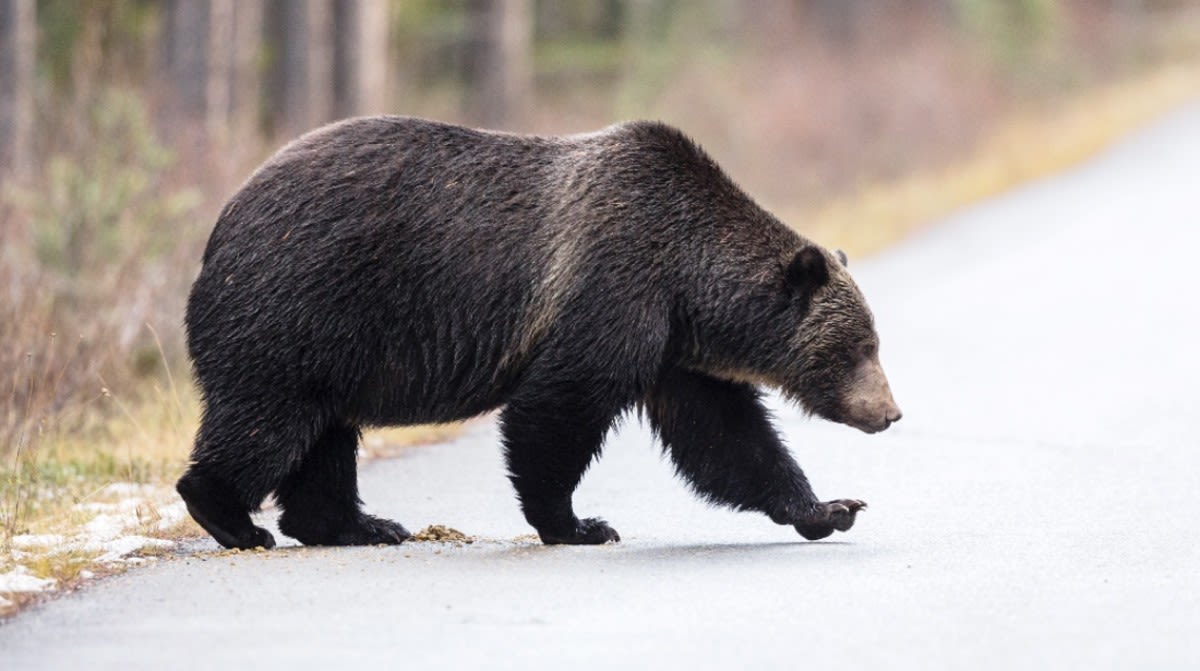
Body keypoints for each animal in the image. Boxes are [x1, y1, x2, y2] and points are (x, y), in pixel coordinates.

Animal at [177, 115, 902, 552]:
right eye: (857, 347)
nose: (890, 412)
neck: (687, 279)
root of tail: (220, 224)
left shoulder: (673, 348)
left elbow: (727, 437)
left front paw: (830, 507)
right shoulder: (612, 288)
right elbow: (558, 407)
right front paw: (580, 522)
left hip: (330, 344)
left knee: (323, 435)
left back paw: (359, 524)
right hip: (301, 306)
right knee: (268, 419)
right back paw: (233, 518)